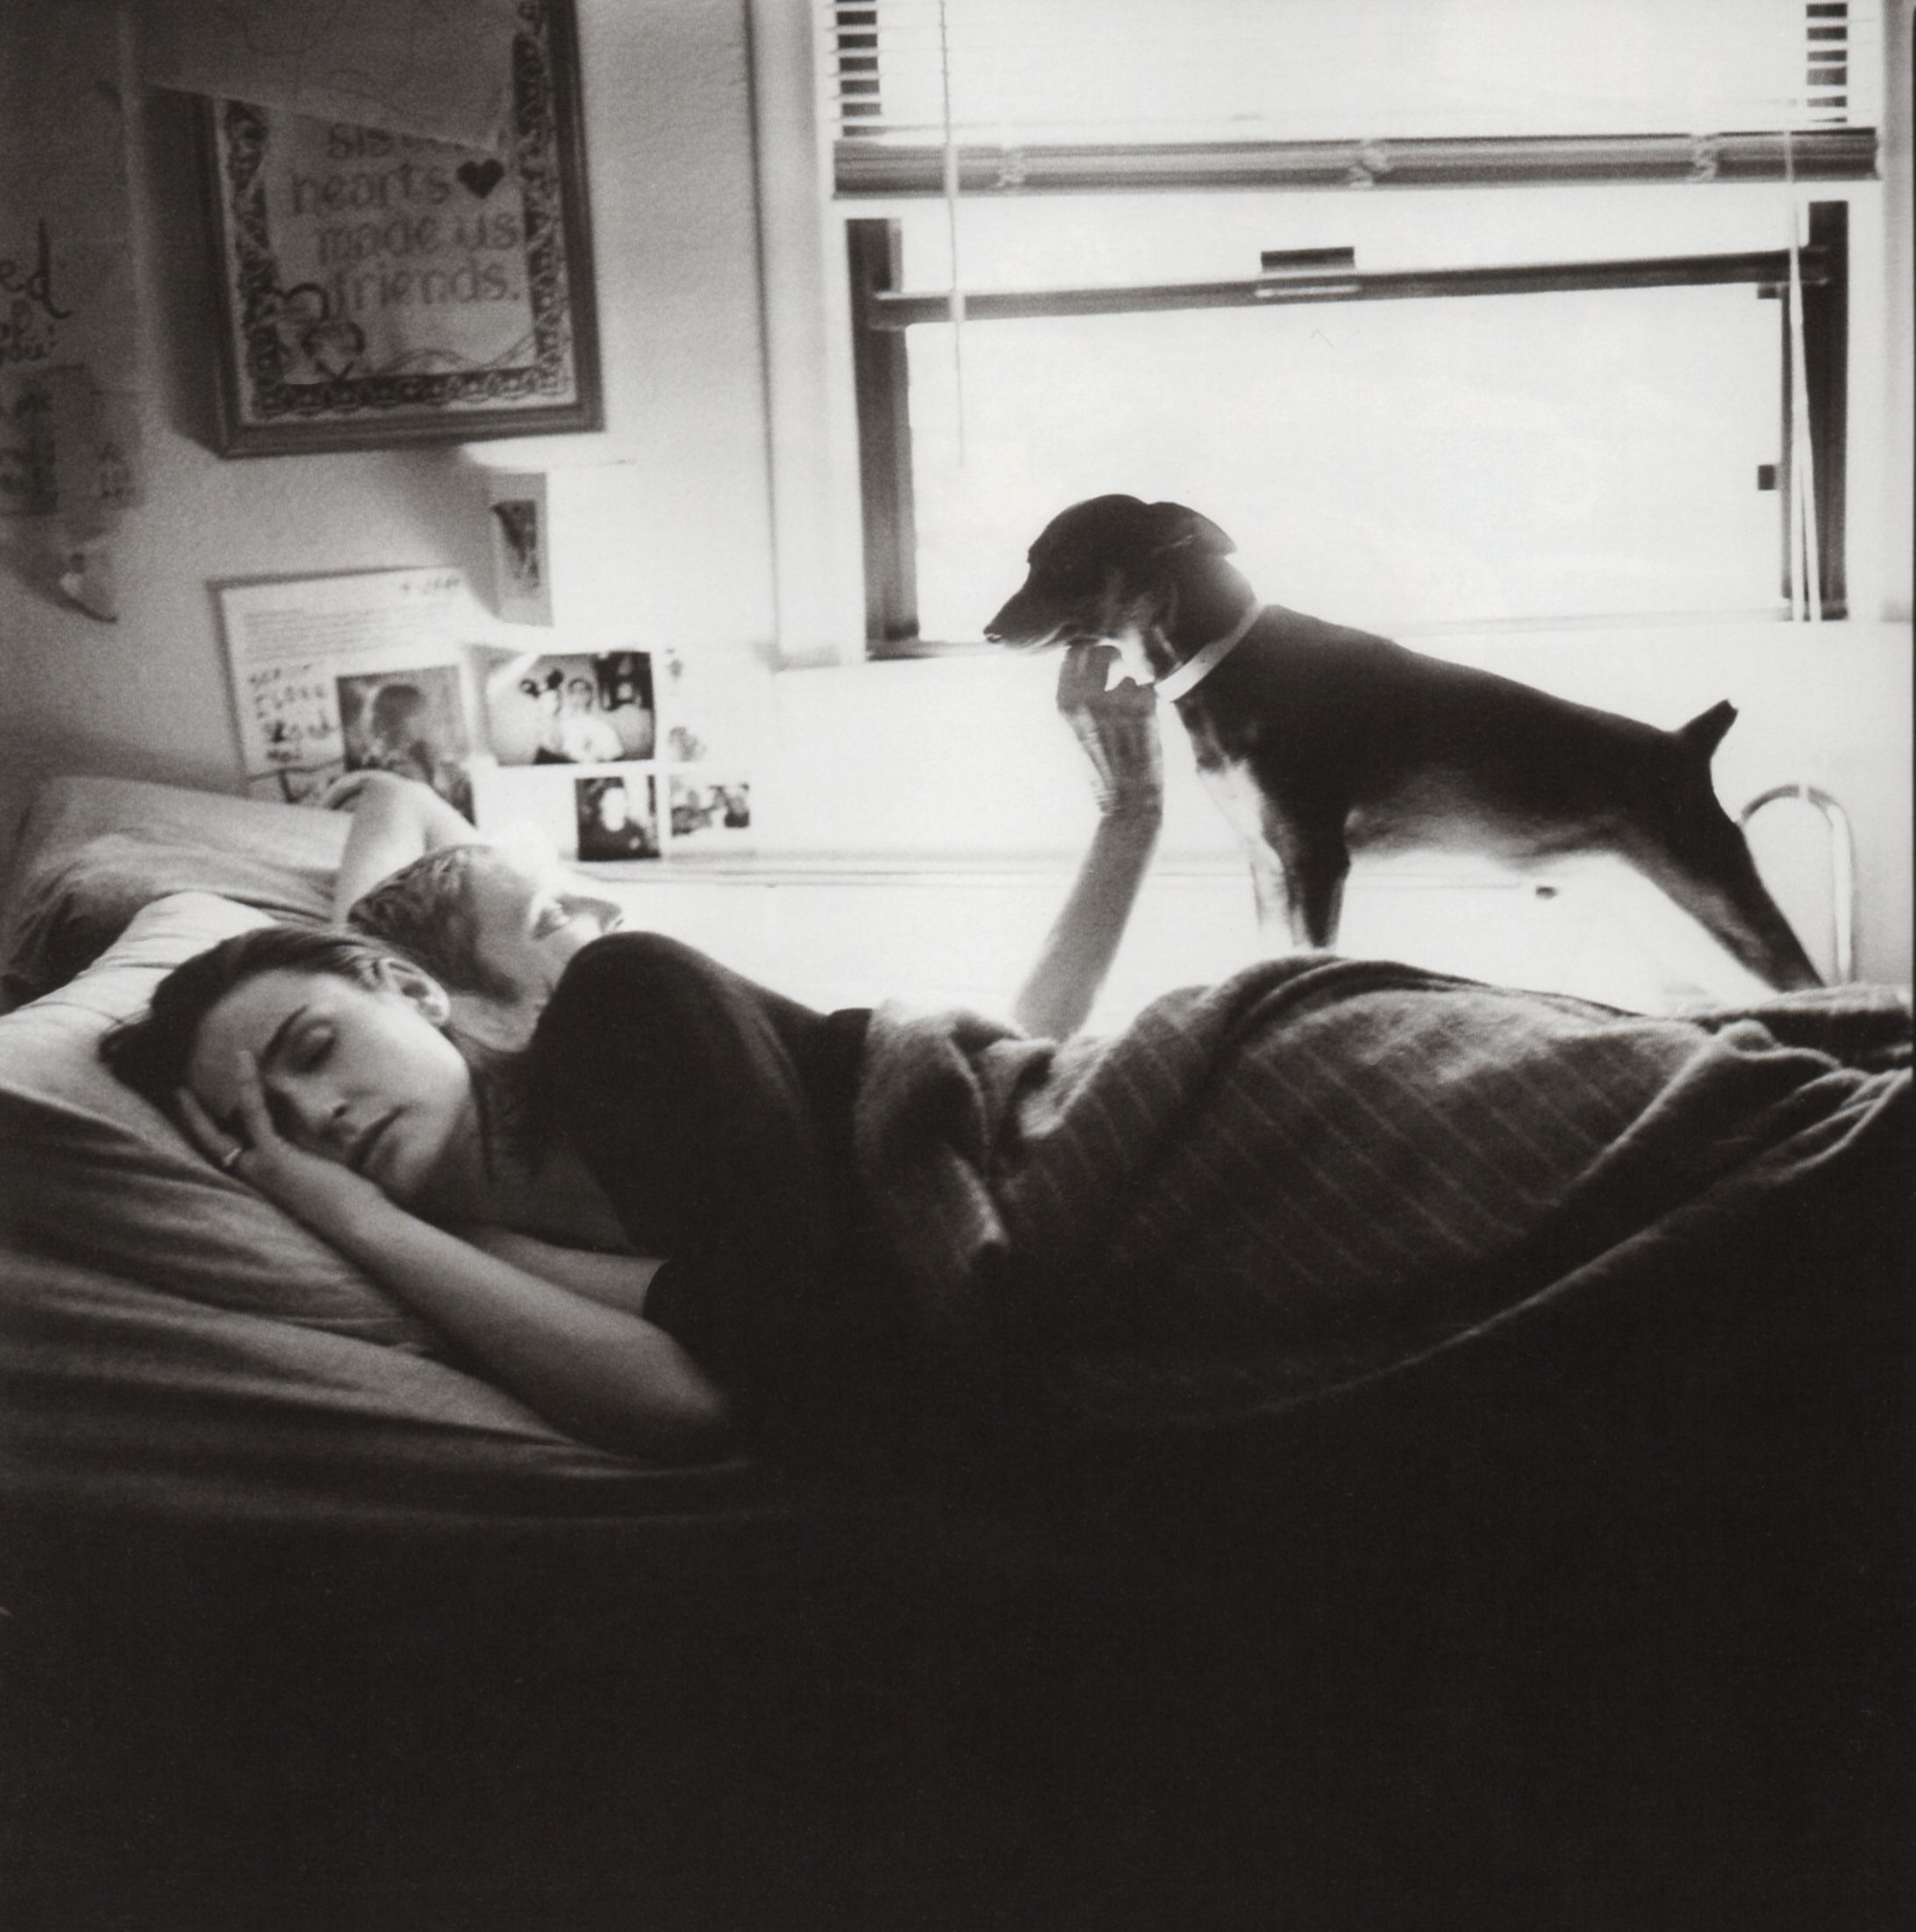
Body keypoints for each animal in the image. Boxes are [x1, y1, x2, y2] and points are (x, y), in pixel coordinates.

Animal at [985, 494, 1822, 991]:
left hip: (1718, 897)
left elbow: (1313, 954)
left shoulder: (1315, 858)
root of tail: (1686, 746)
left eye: (1065, 559)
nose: (990, 631)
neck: (1222, 659)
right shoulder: (1265, 863)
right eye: (1029, 560)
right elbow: (1269, 953)